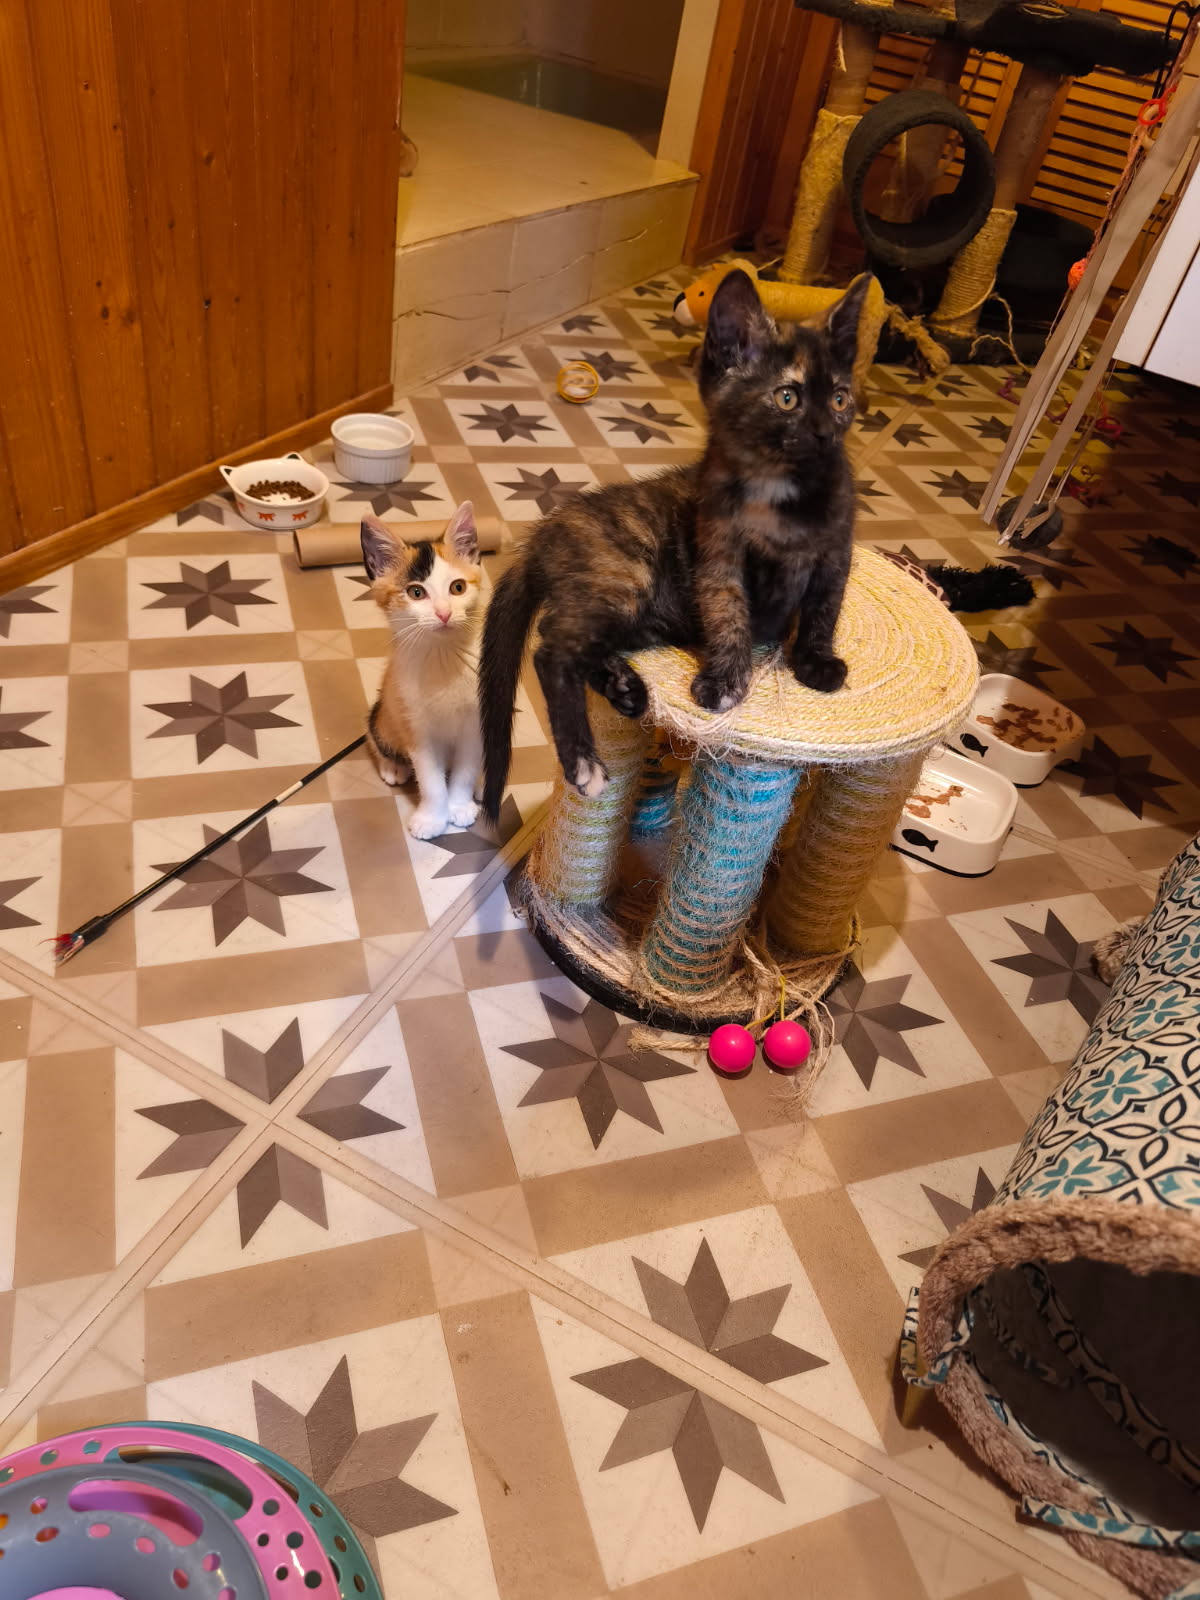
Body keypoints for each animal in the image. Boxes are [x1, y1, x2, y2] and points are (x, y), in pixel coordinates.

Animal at [361, 502, 484, 840]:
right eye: (416, 593)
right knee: (374, 735)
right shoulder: (416, 725)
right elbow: (429, 777)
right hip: (385, 710)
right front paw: (431, 819)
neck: (443, 657)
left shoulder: (476, 721)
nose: (443, 613)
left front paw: (460, 806)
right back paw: (393, 767)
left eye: (458, 588)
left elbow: (465, 768)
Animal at [478, 268, 871, 821]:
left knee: (574, 640)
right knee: (552, 647)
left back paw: (624, 688)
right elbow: (729, 613)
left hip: (641, 614)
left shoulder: (836, 550)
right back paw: (583, 761)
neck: (778, 488)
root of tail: (545, 532)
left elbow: (823, 607)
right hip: (625, 576)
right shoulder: (718, 554)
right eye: (787, 398)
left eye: (839, 399)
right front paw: (726, 680)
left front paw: (815, 661)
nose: (822, 435)